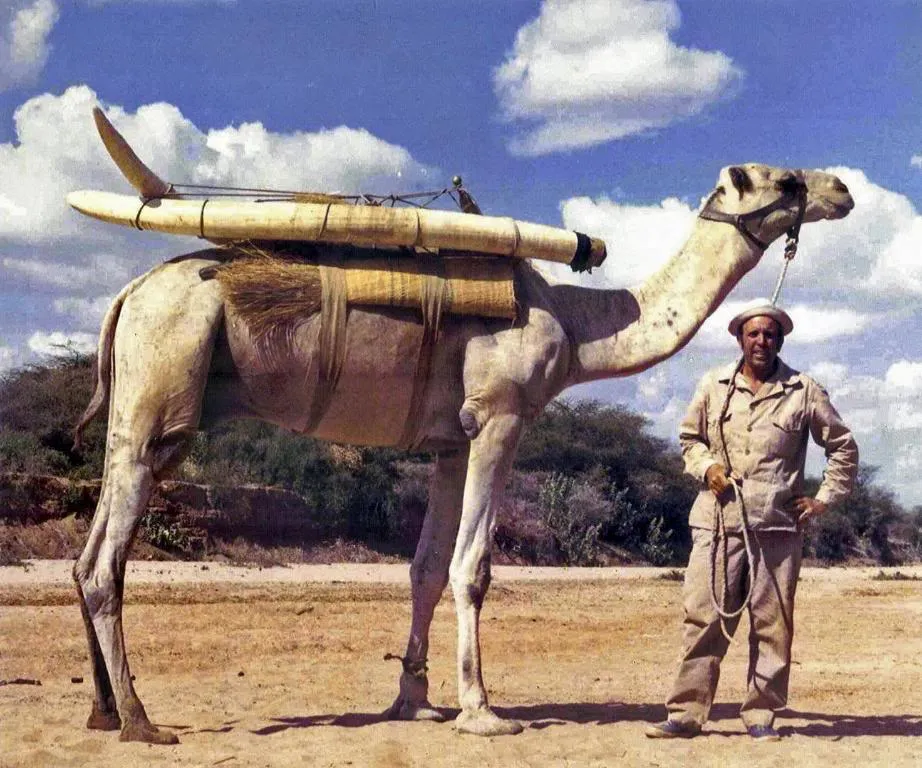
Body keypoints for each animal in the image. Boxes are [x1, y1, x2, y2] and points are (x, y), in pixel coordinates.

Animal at [71, 163, 853, 744]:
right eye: (784, 179)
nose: (842, 188)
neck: (577, 324)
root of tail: (128, 293)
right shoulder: (499, 418)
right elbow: (471, 566)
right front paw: (482, 712)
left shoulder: (449, 441)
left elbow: (423, 568)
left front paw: (414, 701)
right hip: (163, 383)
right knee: (108, 561)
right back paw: (141, 721)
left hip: (134, 412)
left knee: (88, 554)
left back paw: (103, 710)